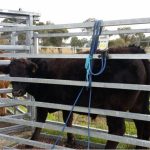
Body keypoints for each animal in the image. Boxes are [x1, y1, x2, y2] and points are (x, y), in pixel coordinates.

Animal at [0, 46, 149, 149]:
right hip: (138, 106)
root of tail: (132, 49)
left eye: (25, 74)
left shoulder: (43, 104)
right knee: (142, 125)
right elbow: (68, 122)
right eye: (11, 74)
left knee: (117, 130)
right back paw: (139, 147)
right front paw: (71, 141)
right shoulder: (67, 104)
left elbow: (39, 123)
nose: (16, 92)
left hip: (114, 108)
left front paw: (30, 142)